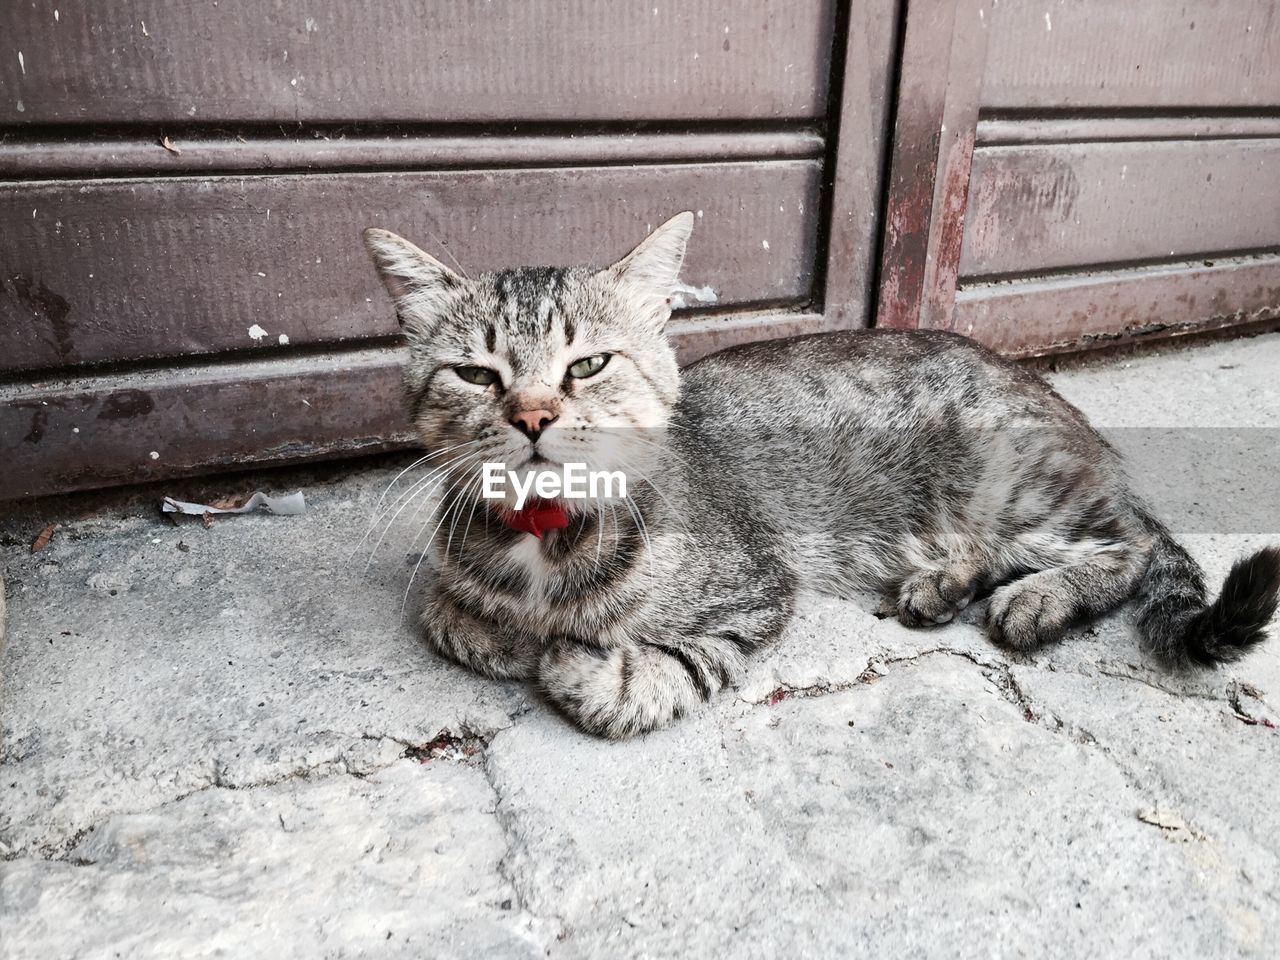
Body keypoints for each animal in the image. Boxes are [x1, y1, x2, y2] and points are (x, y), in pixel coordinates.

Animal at [360, 213, 1280, 742]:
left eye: (588, 365)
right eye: (476, 376)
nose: (532, 417)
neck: (543, 539)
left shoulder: (759, 589)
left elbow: (661, 667)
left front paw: (585, 667)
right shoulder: (451, 578)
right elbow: (446, 611)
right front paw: (498, 629)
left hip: (1011, 484)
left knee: (1128, 544)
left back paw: (1040, 597)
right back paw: (944, 585)